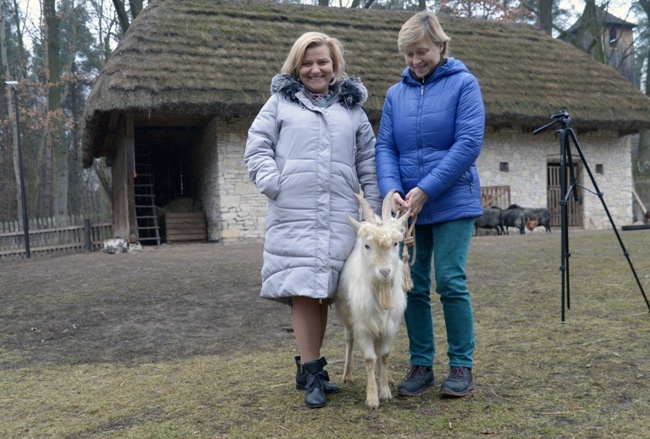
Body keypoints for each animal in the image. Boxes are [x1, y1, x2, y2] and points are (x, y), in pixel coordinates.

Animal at [334, 191, 404, 410]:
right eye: (367, 245)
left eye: (395, 244)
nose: (385, 272)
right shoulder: (363, 325)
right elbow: (370, 359)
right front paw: (372, 398)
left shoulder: (390, 325)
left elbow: (384, 356)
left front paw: (385, 391)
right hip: (346, 315)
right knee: (349, 340)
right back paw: (347, 374)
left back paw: (387, 377)